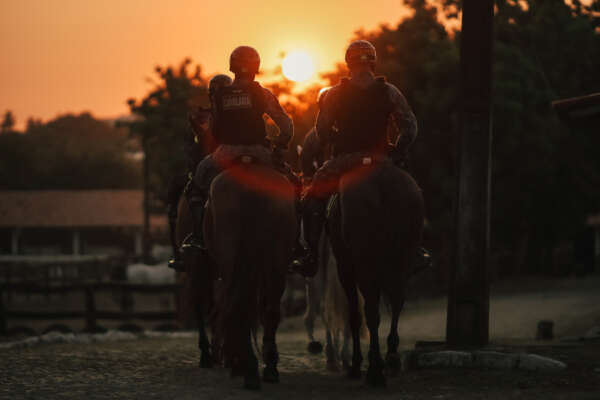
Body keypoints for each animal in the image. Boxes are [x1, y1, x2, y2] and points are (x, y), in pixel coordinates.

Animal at [209, 160, 298, 390]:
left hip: (232, 260)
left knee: (235, 306)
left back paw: (243, 365)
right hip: (272, 263)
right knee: (261, 308)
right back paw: (258, 368)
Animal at [326, 160, 424, 388]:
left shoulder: (346, 268)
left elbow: (355, 315)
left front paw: (357, 363)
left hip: (364, 265)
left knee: (370, 311)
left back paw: (374, 372)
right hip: (401, 259)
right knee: (397, 301)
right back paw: (391, 359)